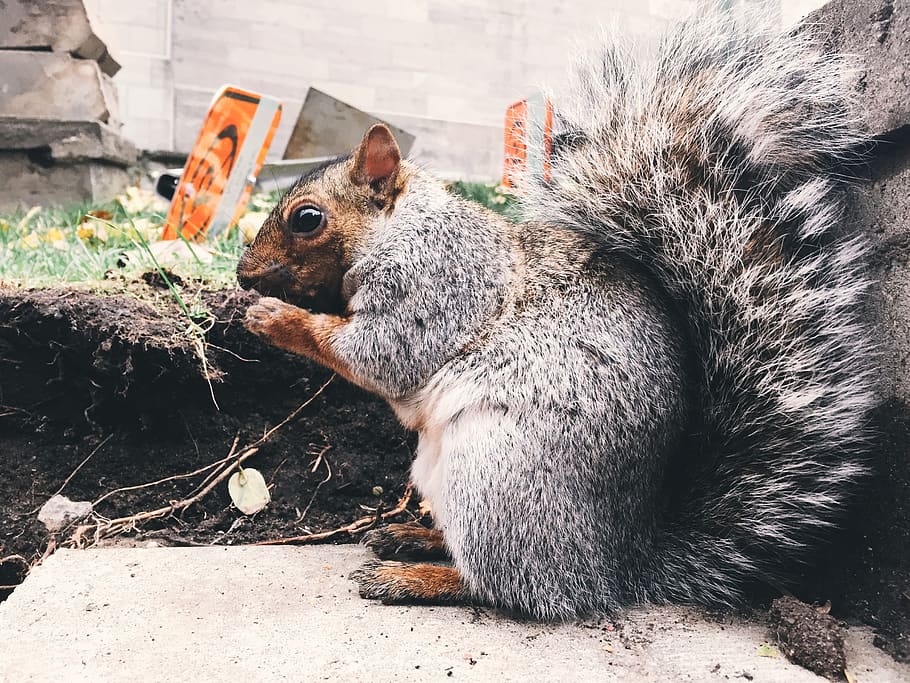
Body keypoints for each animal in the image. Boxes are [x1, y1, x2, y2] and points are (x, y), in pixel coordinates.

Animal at [236, 17, 875, 620]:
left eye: (307, 219)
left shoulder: (439, 282)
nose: (243, 275)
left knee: (515, 587)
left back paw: (414, 578)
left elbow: (382, 353)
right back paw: (415, 537)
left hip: (495, 476)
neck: (402, 227)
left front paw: (274, 317)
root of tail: (619, 562)